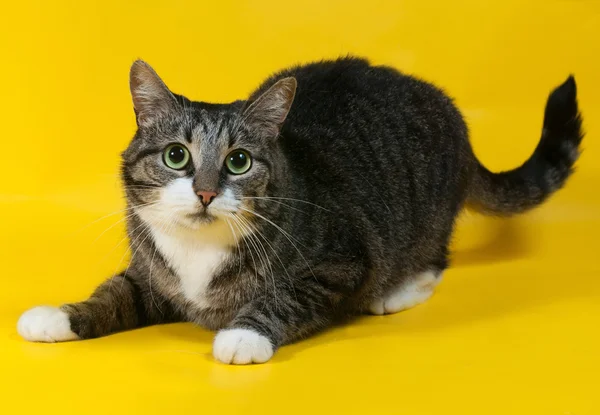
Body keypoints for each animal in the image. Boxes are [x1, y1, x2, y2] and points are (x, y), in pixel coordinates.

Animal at [17, 57, 580, 364]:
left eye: (238, 161)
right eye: (176, 156)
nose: (205, 192)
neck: (199, 251)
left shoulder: (340, 261)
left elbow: (287, 297)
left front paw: (243, 335)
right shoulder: (152, 274)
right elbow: (116, 292)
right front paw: (58, 316)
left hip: (425, 212)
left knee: (435, 257)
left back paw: (396, 290)